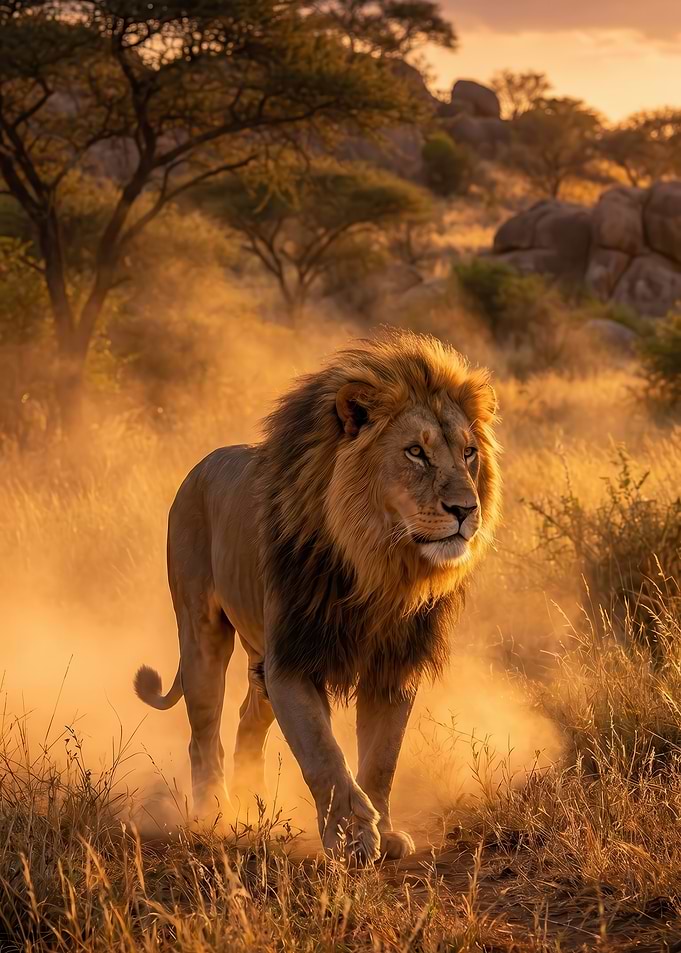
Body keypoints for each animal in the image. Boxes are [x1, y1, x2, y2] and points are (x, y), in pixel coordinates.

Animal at [134, 330, 501, 862]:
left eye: (469, 453)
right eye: (415, 452)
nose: (466, 509)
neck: (379, 566)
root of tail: (199, 466)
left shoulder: (393, 666)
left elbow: (382, 757)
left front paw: (386, 832)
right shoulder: (293, 659)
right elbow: (323, 754)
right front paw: (352, 838)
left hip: (260, 661)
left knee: (246, 720)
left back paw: (250, 798)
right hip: (202, 635)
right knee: (203, 735)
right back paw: (212, 813)